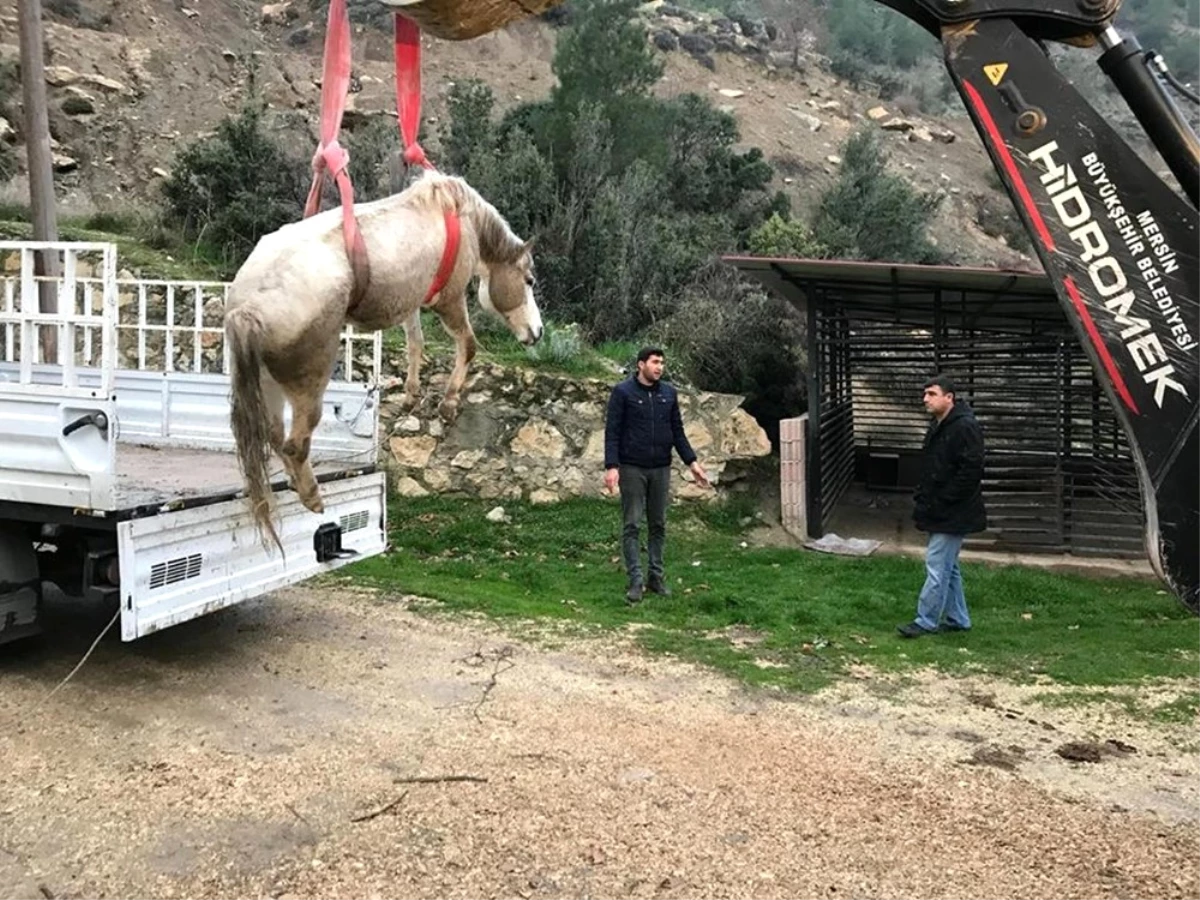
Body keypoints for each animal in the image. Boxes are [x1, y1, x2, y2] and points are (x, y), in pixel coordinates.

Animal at [225, 169, 544, 549]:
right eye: (528, 280)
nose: (537, 331)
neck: (458, 215)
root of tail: (249, 307)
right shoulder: (449, 299)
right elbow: (468, 345)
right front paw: (448, 403)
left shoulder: (412, 301)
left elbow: (415, 342)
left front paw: (411, 394)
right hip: (310, 380)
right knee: (294, 444)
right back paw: (312, 495)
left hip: (268, 384)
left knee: (274, 436)